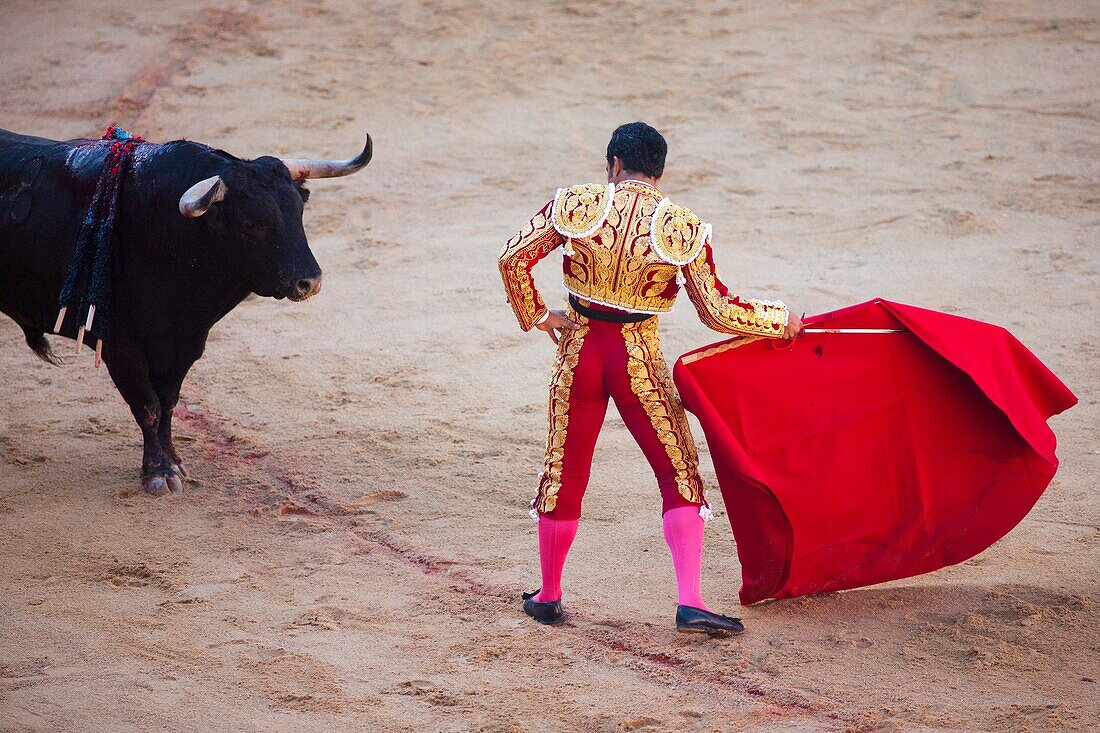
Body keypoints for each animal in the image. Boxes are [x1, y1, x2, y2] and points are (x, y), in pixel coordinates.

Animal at [0, 129, 371, 497]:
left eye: (299, 211)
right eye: (250, 222)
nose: (309, 282)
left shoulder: (185, 342)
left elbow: (168, 403)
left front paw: (174, 463)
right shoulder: (120, 347)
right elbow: (148, 406)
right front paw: (157, 473)